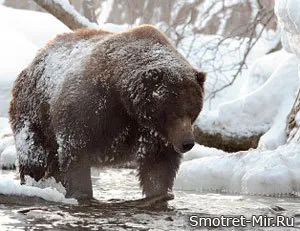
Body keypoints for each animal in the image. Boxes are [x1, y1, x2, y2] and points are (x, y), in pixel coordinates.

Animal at [9, 25, 206, 201]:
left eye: (193, 111)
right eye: (172, 112)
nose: (187, 142)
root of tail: (35, 58)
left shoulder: (152, 133)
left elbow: (158, 166)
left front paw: (160, 193)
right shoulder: (91, 107)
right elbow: (76, 151)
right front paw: (82, 193)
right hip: (36, 112)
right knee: (35, 154)